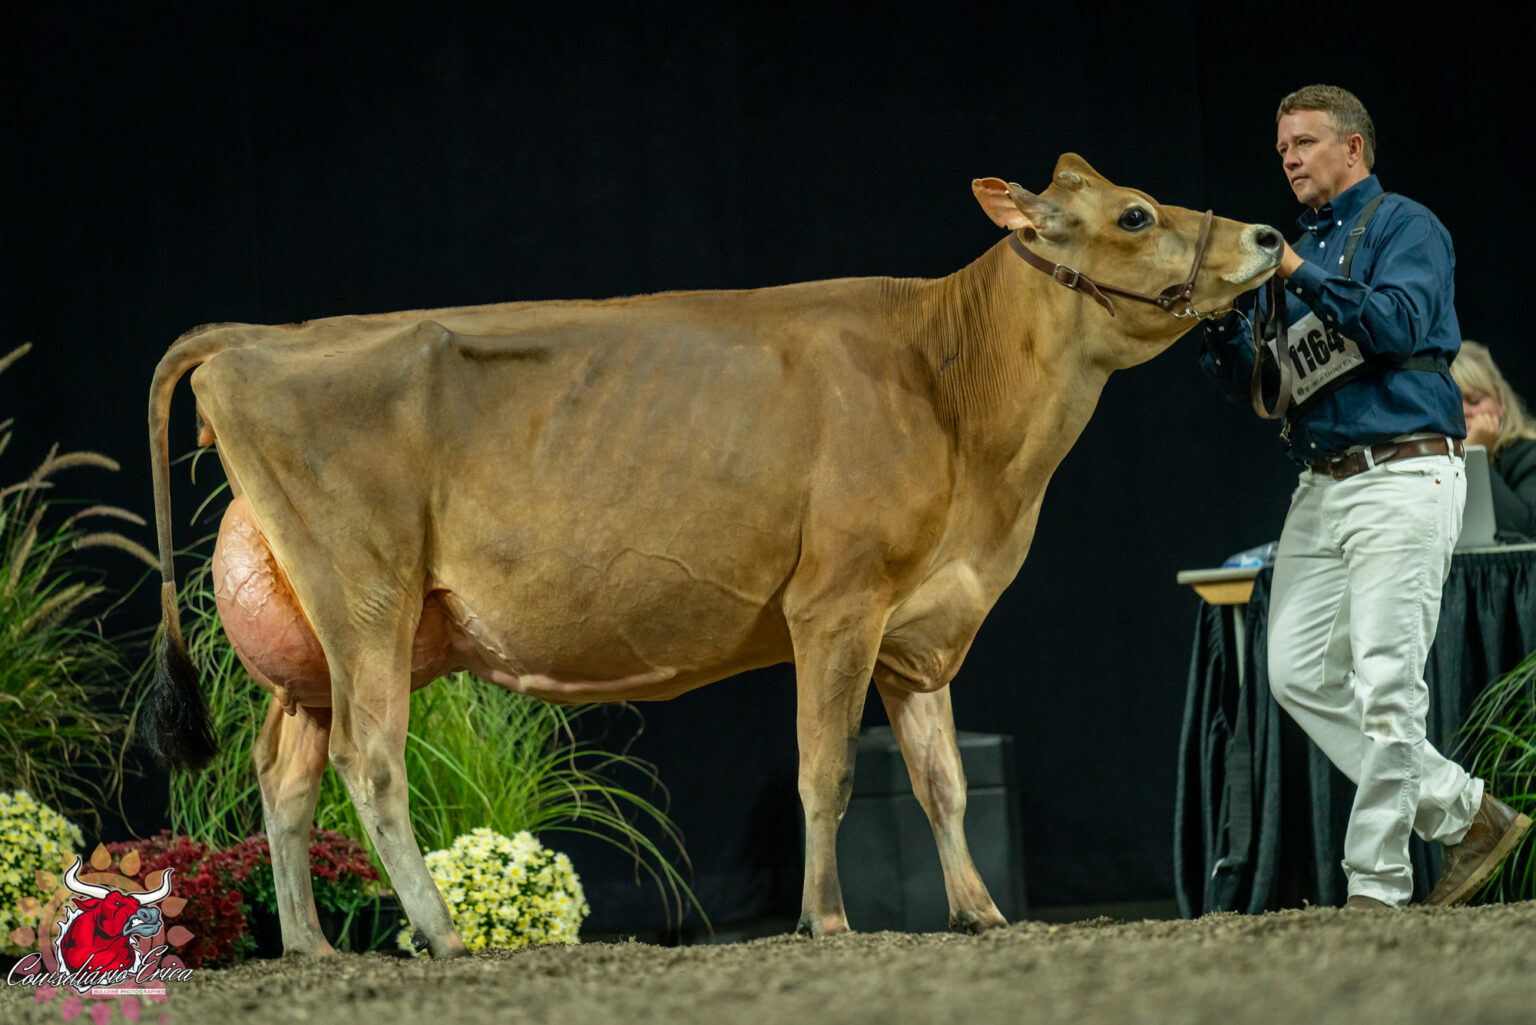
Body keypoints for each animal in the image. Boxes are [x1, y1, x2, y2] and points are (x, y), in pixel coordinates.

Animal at [142, 154, 1280, 958]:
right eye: (1136, 214)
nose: (1270, 233)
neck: (958, 394)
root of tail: (258, 335)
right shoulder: (837, 602)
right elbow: (825, 770)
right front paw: (826, 918)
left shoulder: (922, 622)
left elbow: (943, 779)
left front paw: (980, 910)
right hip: (365, 590)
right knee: (368, 760)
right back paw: (442, 931)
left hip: (314, 642)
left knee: (284, 775)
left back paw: (312, 944)